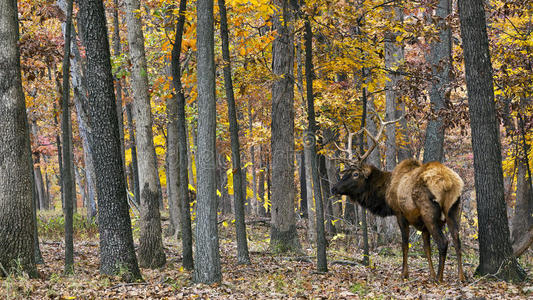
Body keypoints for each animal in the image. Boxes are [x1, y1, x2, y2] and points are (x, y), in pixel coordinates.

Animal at [330, 113, 464, 282]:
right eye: (346, 172)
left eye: (355, 174)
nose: (334, 188)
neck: (385, 194)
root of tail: (449, 183)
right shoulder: (422, 225)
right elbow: (426, 248)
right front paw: (430, 274)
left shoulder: (400, 213)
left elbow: (404, 244)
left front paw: (404, 274)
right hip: (453, 209)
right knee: (457, 240)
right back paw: (461, 276)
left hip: (429, 211)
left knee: (443, 242)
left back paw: (439, 279)